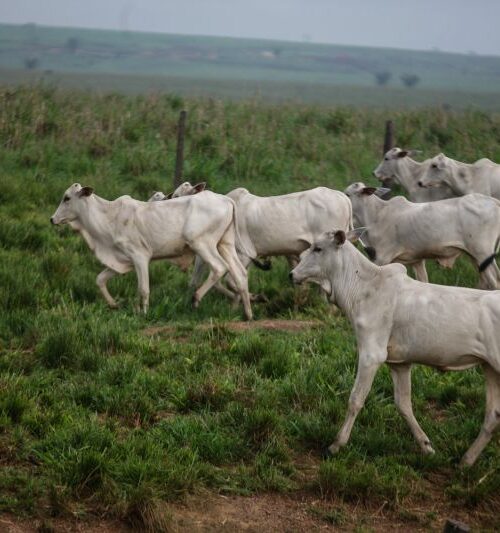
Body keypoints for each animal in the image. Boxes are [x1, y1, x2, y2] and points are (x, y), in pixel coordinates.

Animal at [50, 183, 252, 318]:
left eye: (67, 198)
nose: (52, 219)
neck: (108, 218)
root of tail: (226, 199)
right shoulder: (123, 260)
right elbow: (100, 279)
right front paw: (114, 305)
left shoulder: (140, 257)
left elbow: (143, 289)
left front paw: (144, 313)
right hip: (225, 244)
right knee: (240, 274)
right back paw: (247, 314)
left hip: (202, 244)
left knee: (219, 268)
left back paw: (196, 298)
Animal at [292, 229, 500, 466]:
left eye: (318, 248)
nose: (291, 274)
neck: (364, 289)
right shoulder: (399, 362)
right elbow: (403, 404)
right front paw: (426, 446)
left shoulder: (371, 354)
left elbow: (356, 399)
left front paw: (335, 445)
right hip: (489, 368)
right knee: (493, 415)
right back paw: (466, 460)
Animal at [346, 183, 500, 290]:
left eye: (347, 194)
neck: (376, 214)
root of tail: (495, 202)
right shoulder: (417, 260)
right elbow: (423, 282)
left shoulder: (381, 258)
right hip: (475, 257)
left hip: (482, 253)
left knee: (495, 282)